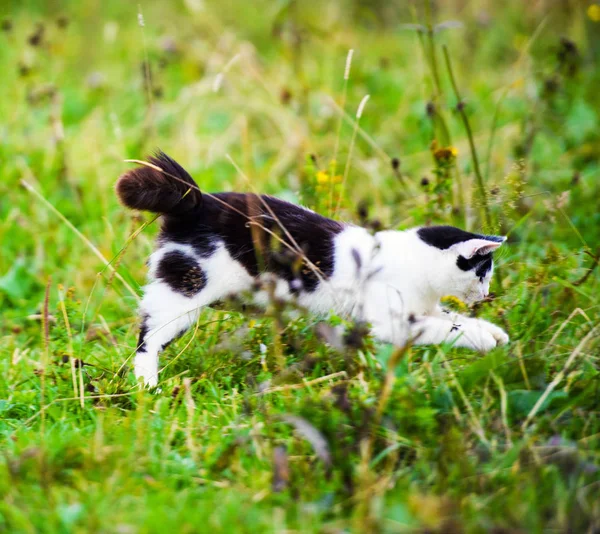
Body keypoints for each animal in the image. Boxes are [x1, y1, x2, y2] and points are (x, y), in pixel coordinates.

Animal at [115, 153, 508, 388]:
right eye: (483, 272)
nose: (487, 294)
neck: (415, 261)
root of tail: (195, 201)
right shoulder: (389, 321)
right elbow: (443, 328)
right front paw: (481, 339)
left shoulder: (421, 307)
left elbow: (450, 317)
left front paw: (492, 332)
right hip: (185, 288)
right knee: (148, 338)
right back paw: (147, 386)